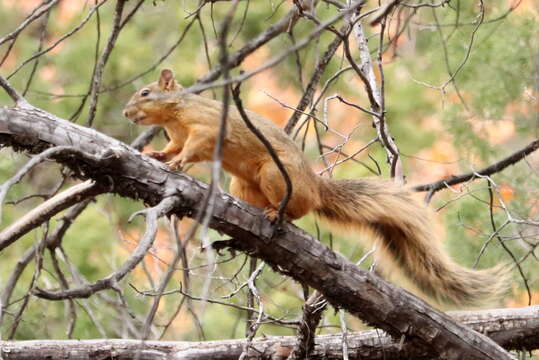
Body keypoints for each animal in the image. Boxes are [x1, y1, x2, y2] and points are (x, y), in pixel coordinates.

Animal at [122, 69, 510, 306]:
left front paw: (177, 164)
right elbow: (174, 148)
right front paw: (159, 155)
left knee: (298, 211)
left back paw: (276, 214)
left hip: (274, 174)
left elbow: (192, 150)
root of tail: (314, 185)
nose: (126, 113)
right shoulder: (177, 135)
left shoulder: (204, 130)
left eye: (145, 92)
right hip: (243, 182)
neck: (176, 114)